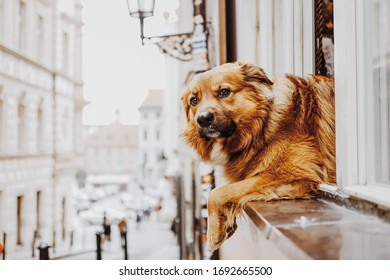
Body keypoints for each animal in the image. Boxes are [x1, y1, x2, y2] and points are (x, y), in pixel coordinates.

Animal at [181, 62, 336, 253]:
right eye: (194, 101)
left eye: (224, 92)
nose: (203, 119)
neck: (263, 124)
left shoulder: (291, 172)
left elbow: (217, 192)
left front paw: (214, 232)